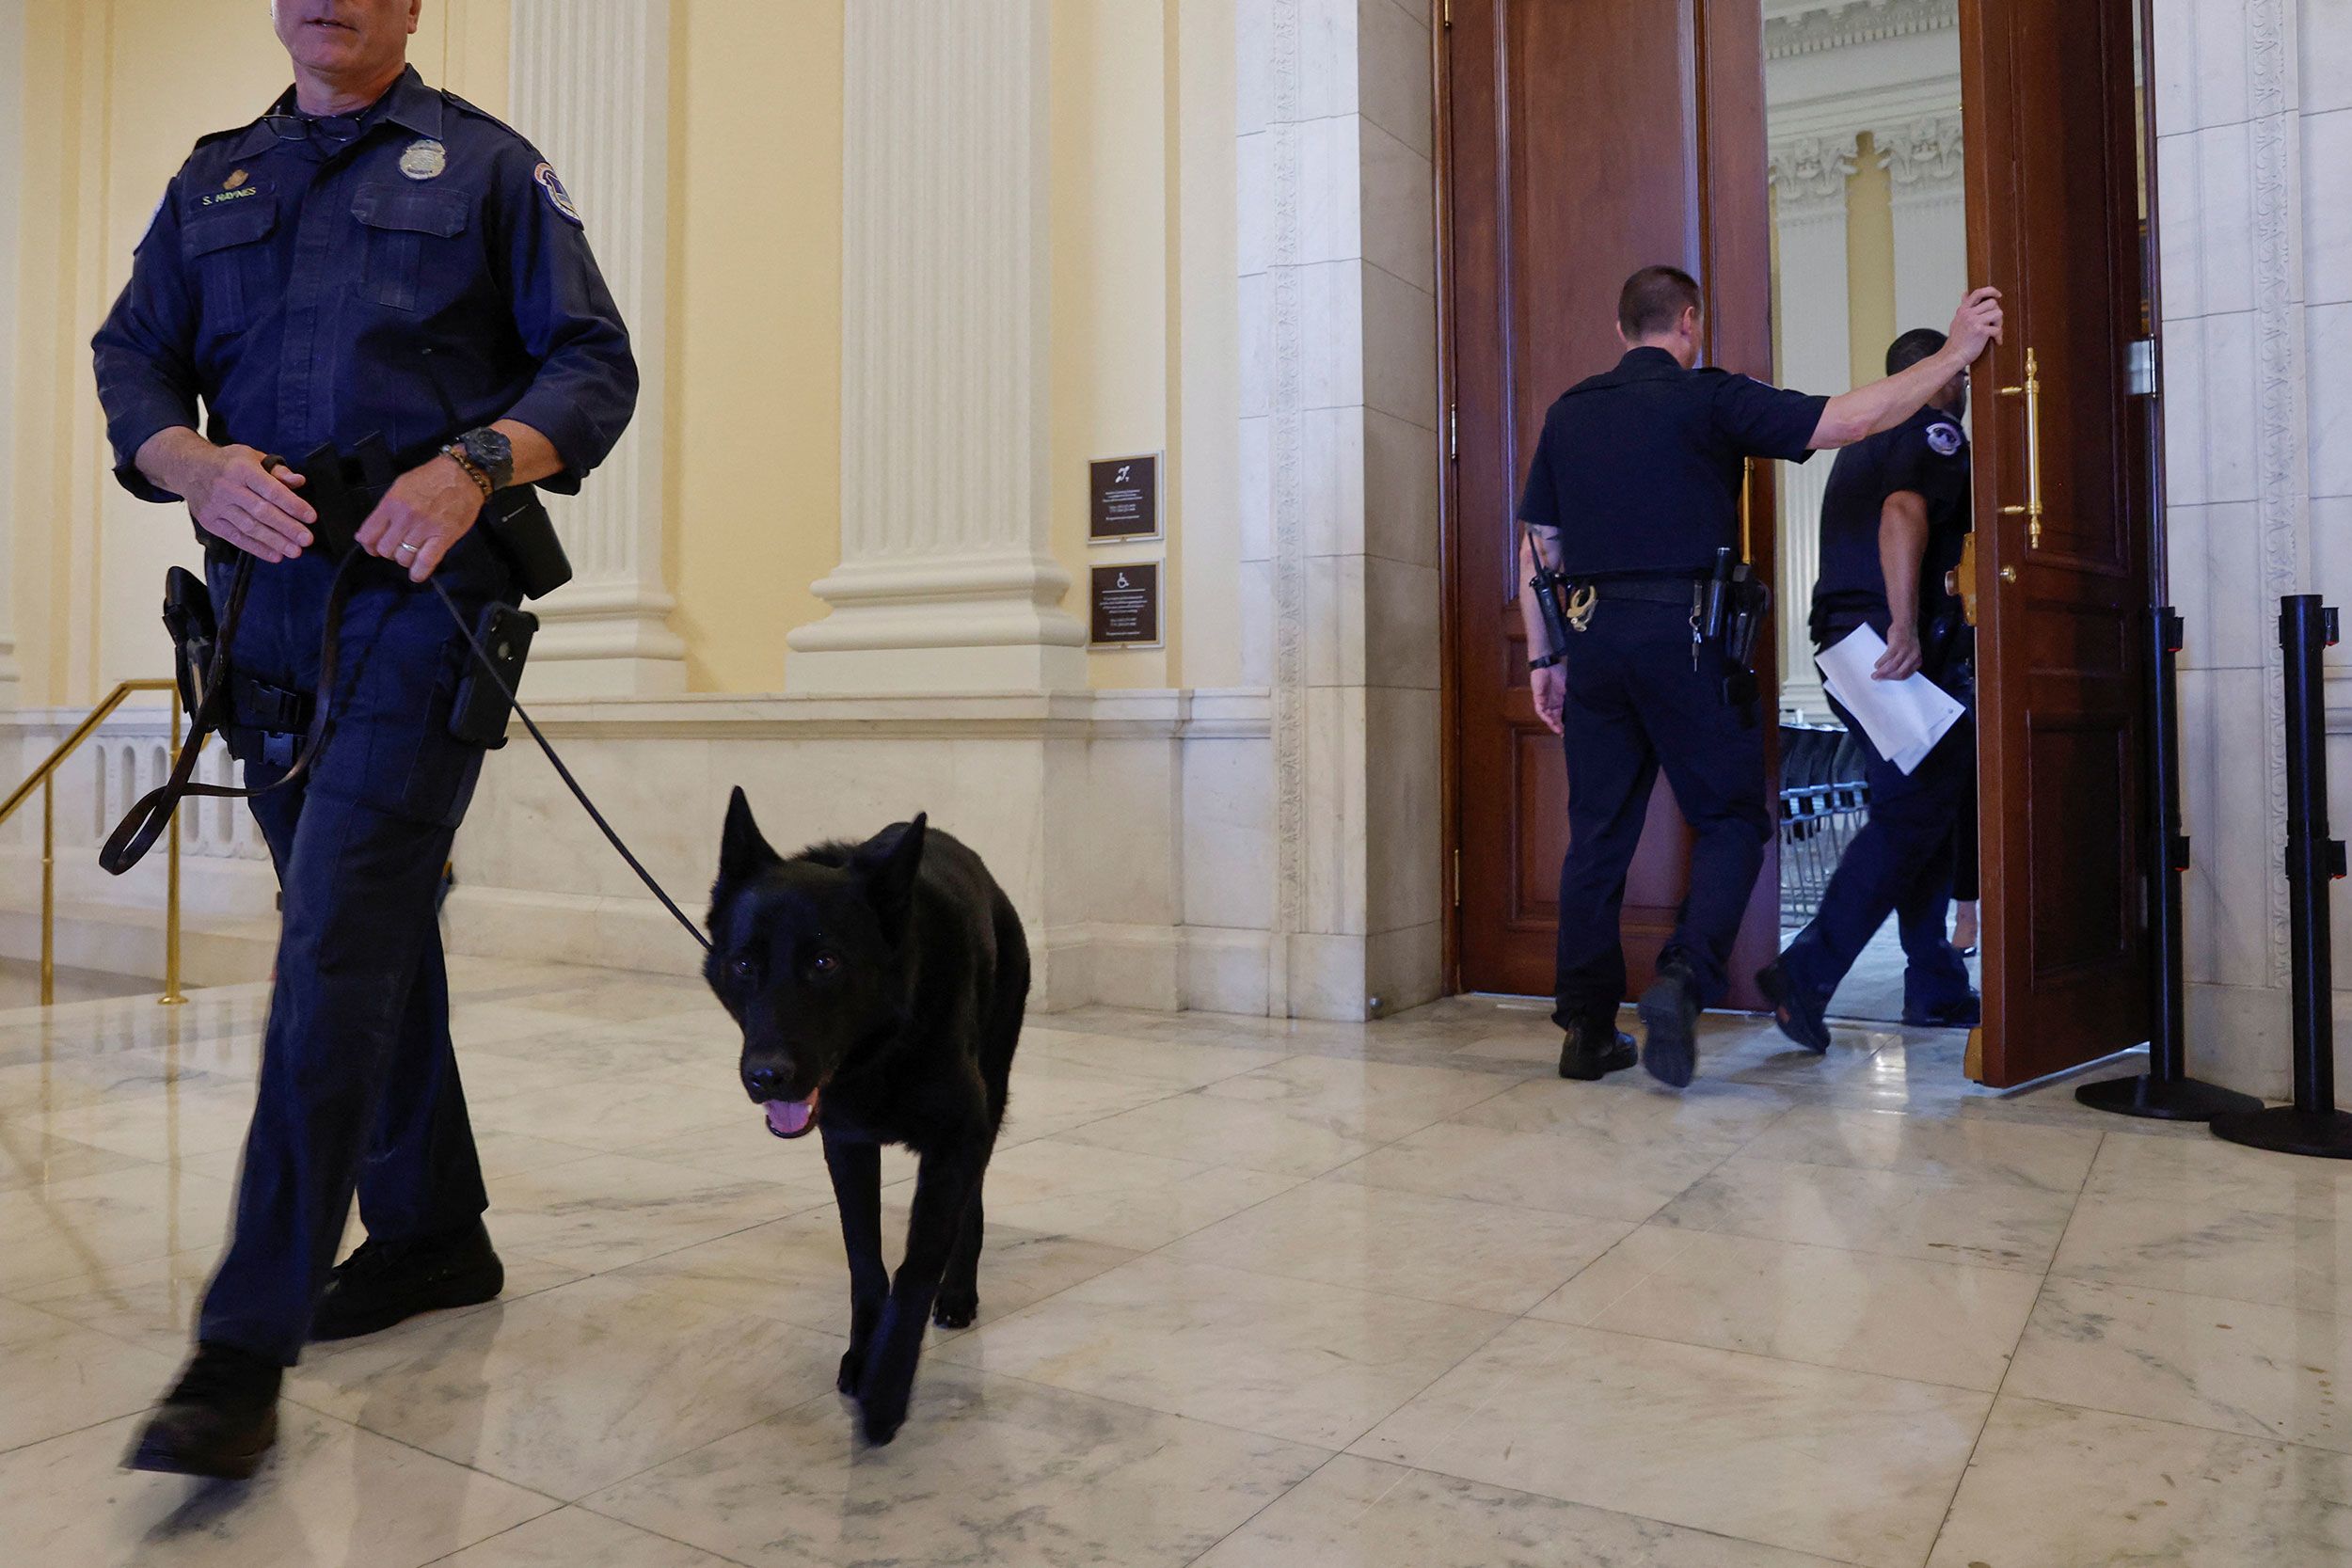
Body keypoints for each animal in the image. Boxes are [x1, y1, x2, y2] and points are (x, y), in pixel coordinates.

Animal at [701, 789, 1025, 1457]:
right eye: (744, 964)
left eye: (825, 962)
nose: (767, 1078)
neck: (882, 1048)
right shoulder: (847, 1144)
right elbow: (865, 1262)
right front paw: (862, 1355)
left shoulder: (957, 1138)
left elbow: (916, 1265)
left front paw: (887, 1389)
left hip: (993, 1088)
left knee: (973, 1197)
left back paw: (960, 1290)